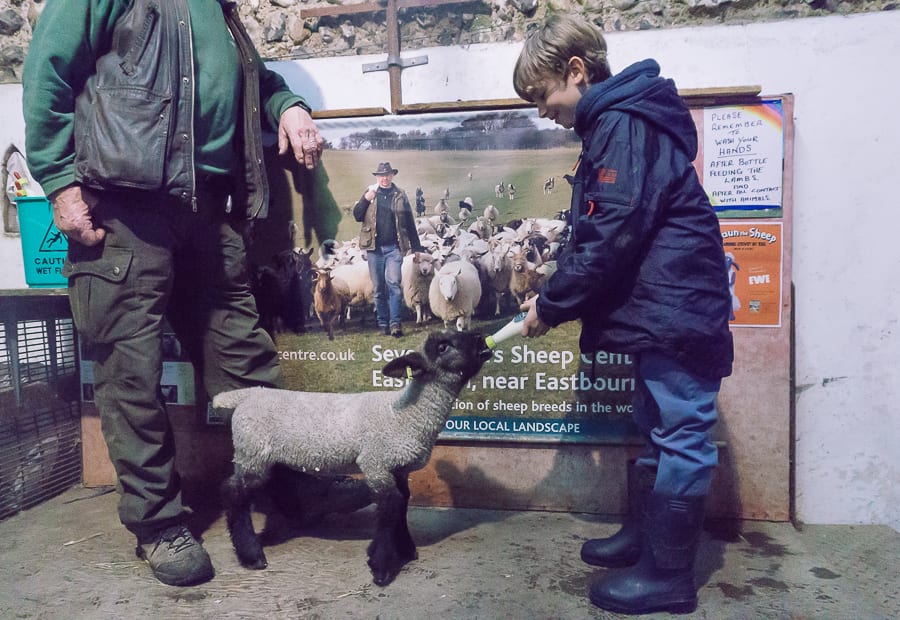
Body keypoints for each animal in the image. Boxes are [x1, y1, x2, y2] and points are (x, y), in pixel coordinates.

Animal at [213, 330, 492, 588]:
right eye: (443, 347)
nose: (481, 338)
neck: (407, 413)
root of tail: (247, 396)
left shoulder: (398, 469)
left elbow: (402, 503)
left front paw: (405, 549)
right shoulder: (375, 463)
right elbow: (390, 506)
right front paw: (381, 567)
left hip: (266, 456)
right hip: (252, 452)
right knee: (233, 492)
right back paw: (251, 555)